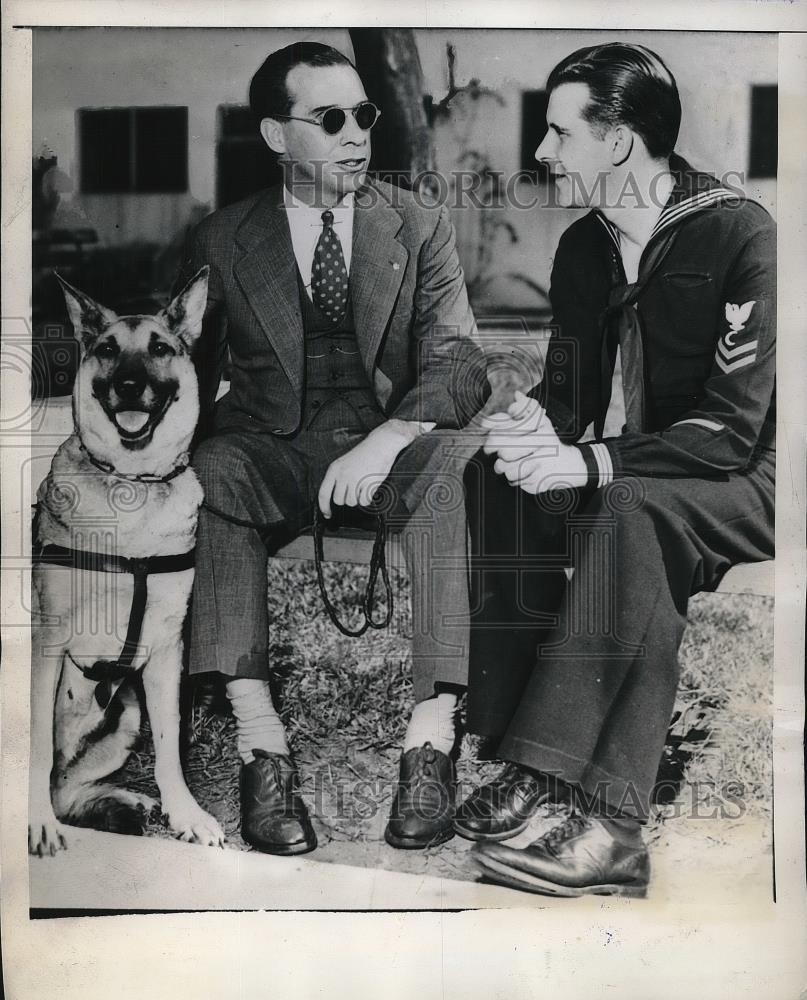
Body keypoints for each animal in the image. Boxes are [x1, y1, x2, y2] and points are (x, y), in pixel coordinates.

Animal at [29, 270, 224, 856]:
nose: (131, 386)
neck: (132, 483)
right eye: (108, 350)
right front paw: (34, 823)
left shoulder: (165, 651)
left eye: (159, 348)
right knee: (47, 773)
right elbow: (30, 749)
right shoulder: (48, 641)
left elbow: (170, 747)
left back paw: (128, 801)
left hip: (125, 716)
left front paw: (185, 813)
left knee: (67, 786)